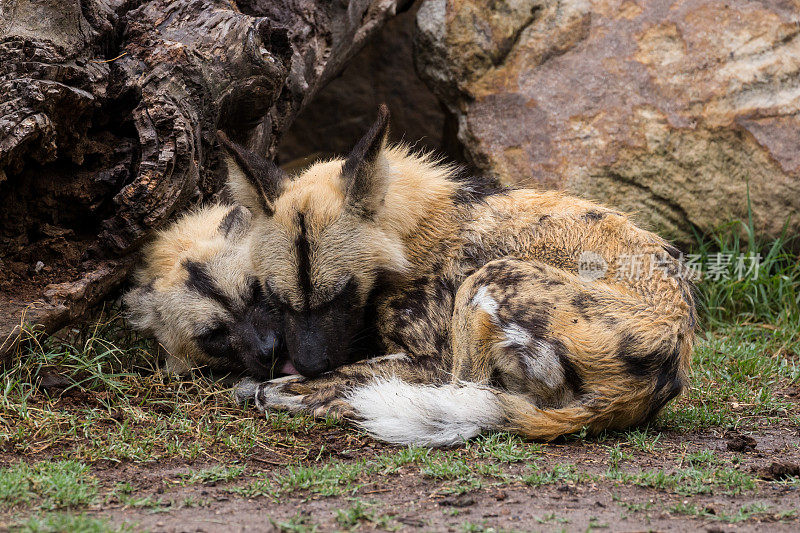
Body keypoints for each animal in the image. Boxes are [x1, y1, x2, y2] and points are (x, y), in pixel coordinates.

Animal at [220, 106, 692, 446]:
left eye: (342, 294)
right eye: (276, 299)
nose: (309, 363)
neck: (409, 233)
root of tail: (673, 349)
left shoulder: (428, 362)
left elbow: (297, 384)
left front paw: (290, 388)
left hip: (488, 283)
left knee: (455, 394)